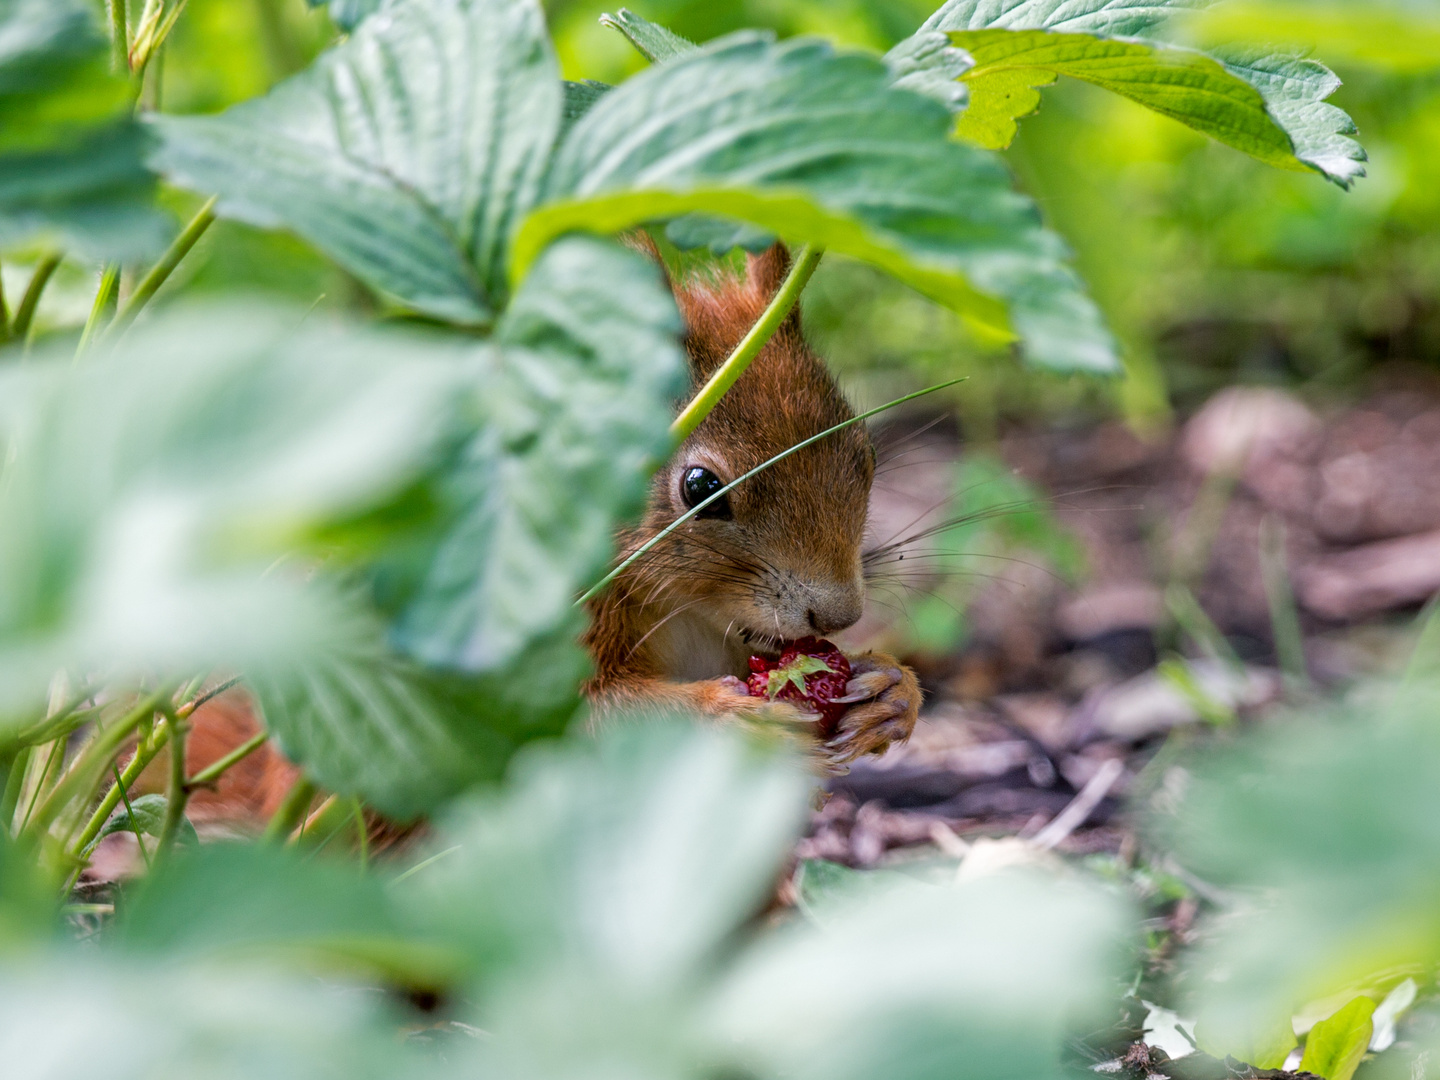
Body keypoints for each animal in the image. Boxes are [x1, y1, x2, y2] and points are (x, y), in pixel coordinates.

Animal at [177, 244, 921, 835]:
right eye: (700, 486)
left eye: (863, 453)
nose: (839, 613)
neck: (686, 608)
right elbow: (563, 722)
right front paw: (726, 718)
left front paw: (891, 690)